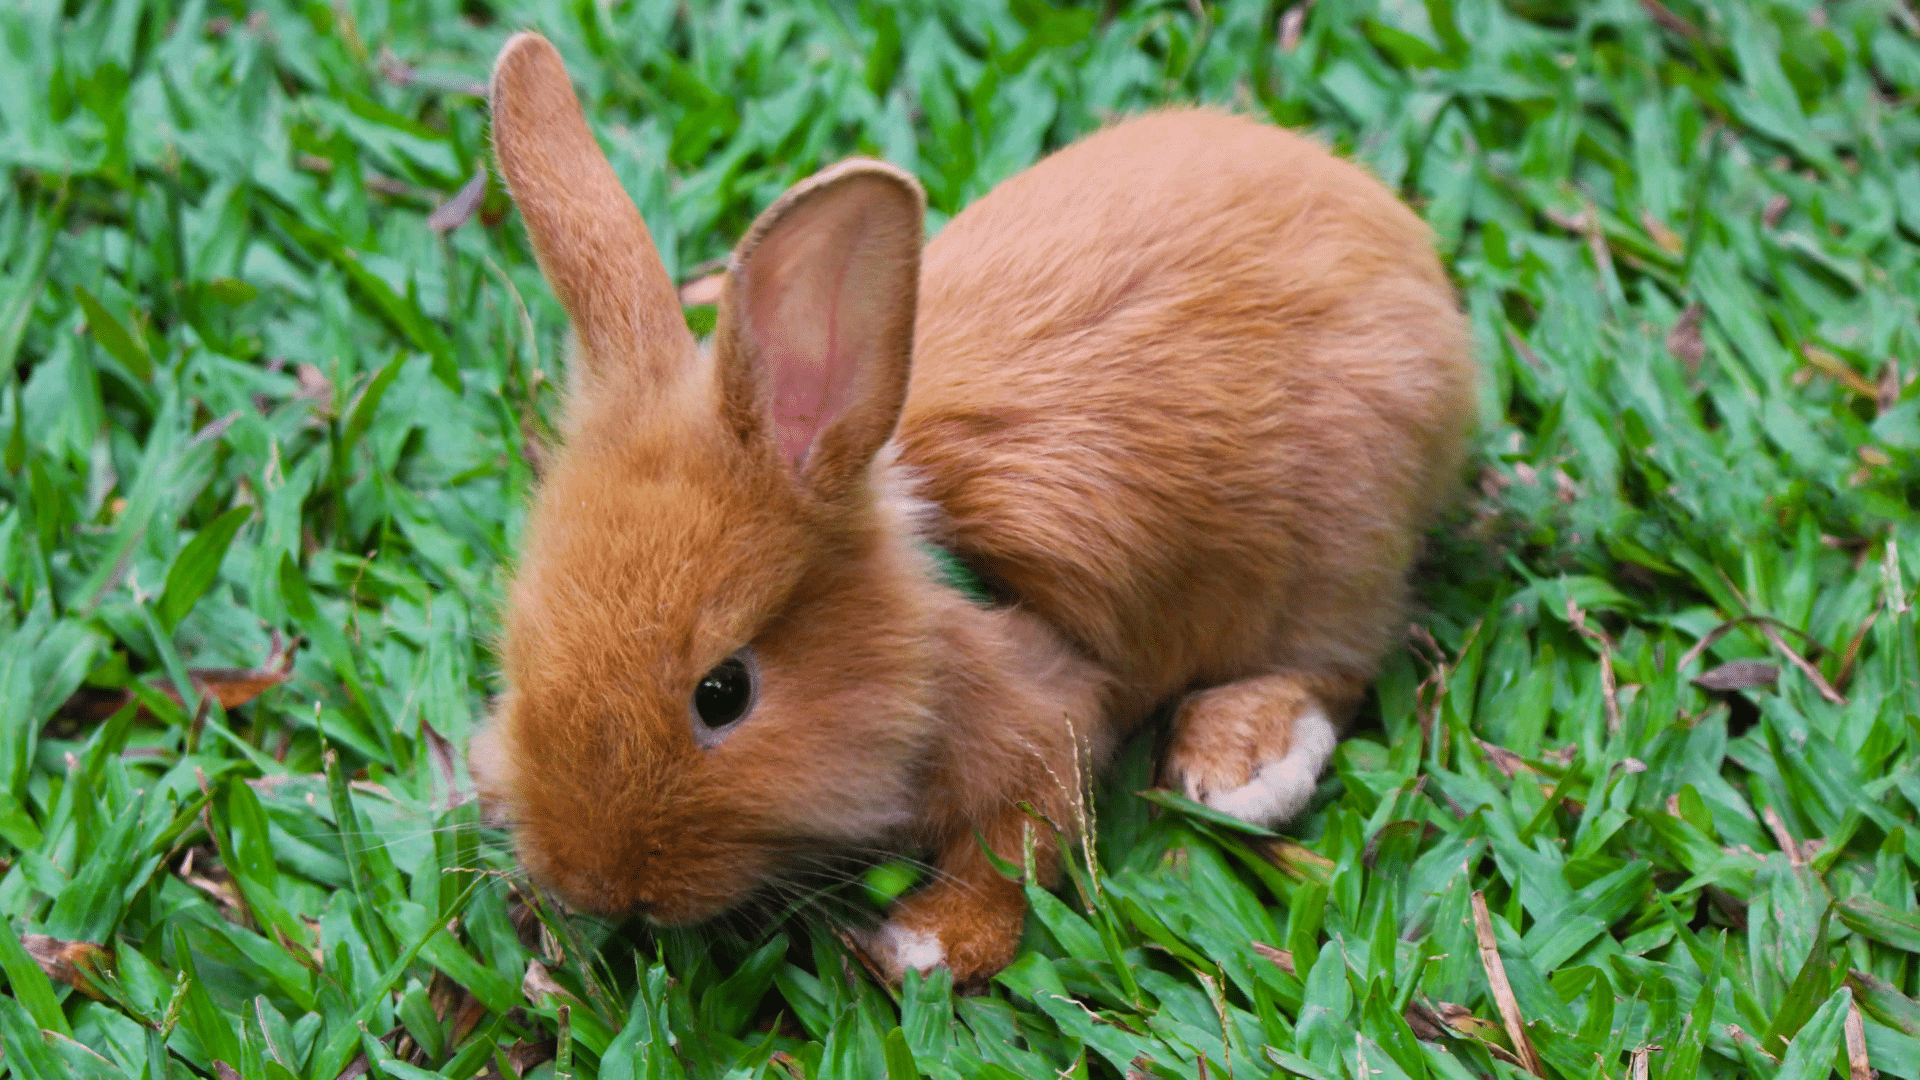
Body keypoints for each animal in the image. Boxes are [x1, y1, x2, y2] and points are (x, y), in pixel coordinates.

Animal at [467, 31, 1478, 991]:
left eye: (724, 693)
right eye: (519, 645)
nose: (592, 884)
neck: (925, 621)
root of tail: (1404, 250)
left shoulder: (1045, 724)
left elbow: (1014, 849)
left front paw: (923, 945)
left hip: (1335, 546)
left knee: (1333, 662)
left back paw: (1238, 767)